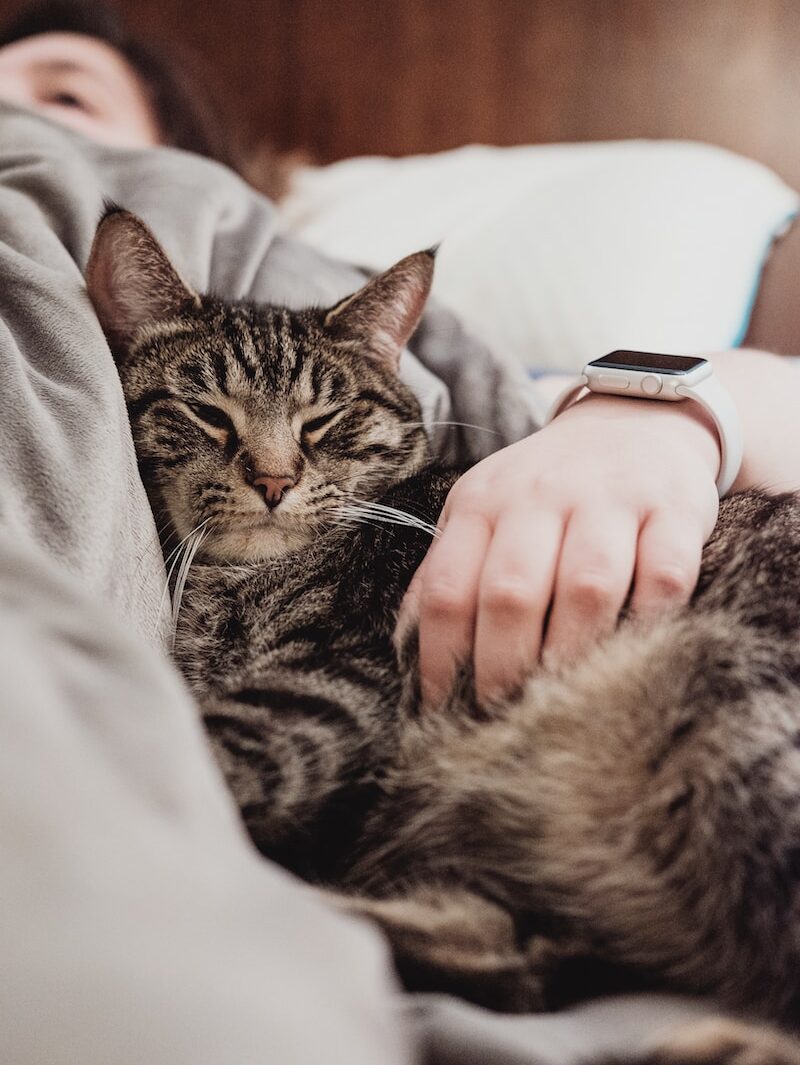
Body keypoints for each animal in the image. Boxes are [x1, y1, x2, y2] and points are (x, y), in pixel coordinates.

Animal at [88, 207, 800, 1065]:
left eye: (324, 420)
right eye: (207, 412)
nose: (273, 479)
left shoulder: (332, 684)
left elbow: (206, 749)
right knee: (511, 959)